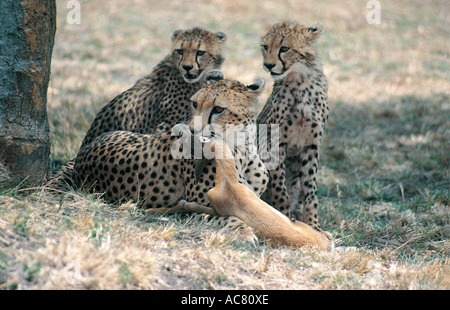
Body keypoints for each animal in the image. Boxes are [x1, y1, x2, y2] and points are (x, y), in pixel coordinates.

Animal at [74, 71, 268, 243]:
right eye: (194, 104)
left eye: (219, 109)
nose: (191, 130)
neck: (243, 151)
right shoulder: (194, 209)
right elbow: (227, 217)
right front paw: (244, 232)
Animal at [256, 21, 330, 234]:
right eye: (265, 47)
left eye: (285, 48)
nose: (268, 65)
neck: (299, 82)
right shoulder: (275, 143)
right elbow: (280, 187)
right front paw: (284, 218)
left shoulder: (311, 146)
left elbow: (310, 190)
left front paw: (314, 226)